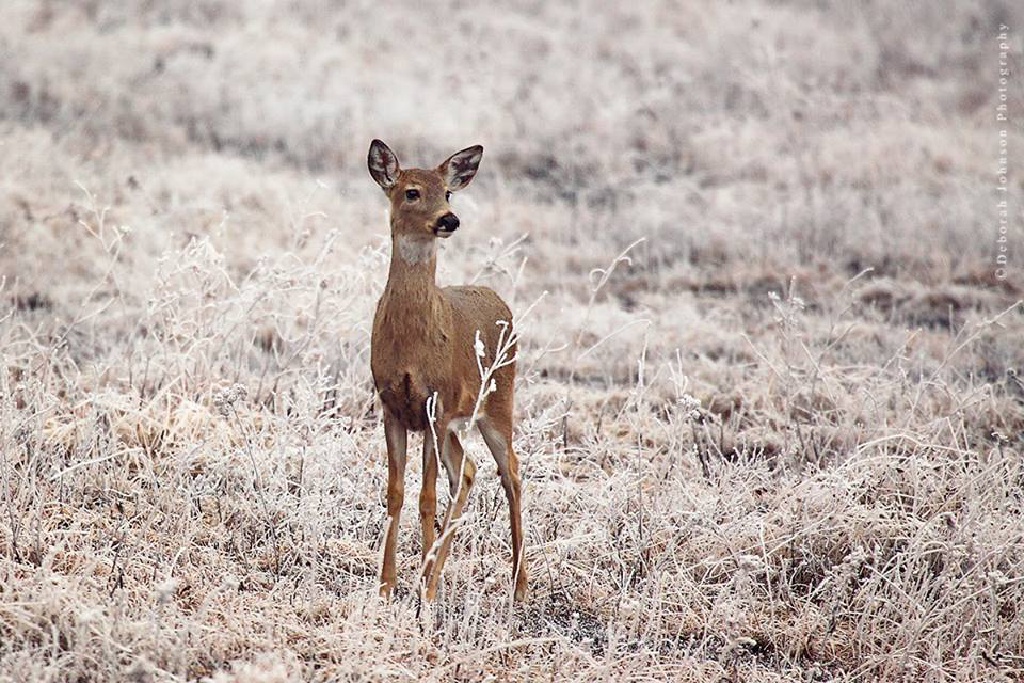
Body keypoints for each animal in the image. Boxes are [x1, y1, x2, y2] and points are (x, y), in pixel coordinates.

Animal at [367, 139, 527, 602]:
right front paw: (387, 586)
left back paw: (519, 586)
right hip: (457, 424)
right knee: (468, 472)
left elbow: (427, 496)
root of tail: (498, 300)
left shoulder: (434, 403)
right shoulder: (391, 404)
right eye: (412, 192)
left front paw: (421, 588)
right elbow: (396, 493)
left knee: (511, 472)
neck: (410, 347)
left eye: (449, 193)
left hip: (498, 402)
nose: (449, 219)